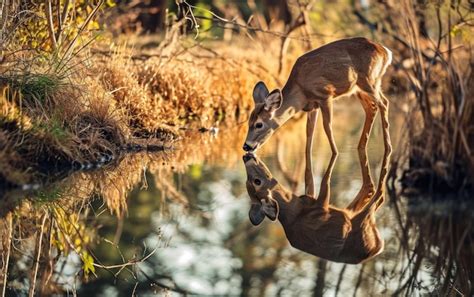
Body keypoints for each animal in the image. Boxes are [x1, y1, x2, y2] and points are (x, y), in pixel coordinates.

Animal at [243, 38, 394, 198]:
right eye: (248, 122)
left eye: (259, 124)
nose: (246, 146)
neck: (301, 91)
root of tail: (385, 52)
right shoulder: (312, 106)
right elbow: (309, 132)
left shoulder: (325, 95)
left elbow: (327, 127)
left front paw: (335, 152)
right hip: (359, 87)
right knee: (372, 107)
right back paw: (361, 146)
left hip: (369, 80)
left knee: (384, 103)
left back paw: (388, 147)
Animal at [243, 138, 390, 262]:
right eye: (257, 181)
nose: (246, 156)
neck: (295, 209)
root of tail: (375, 250)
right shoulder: (322, 206)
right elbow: (325, 180)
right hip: (361, 224)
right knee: (378, 195)